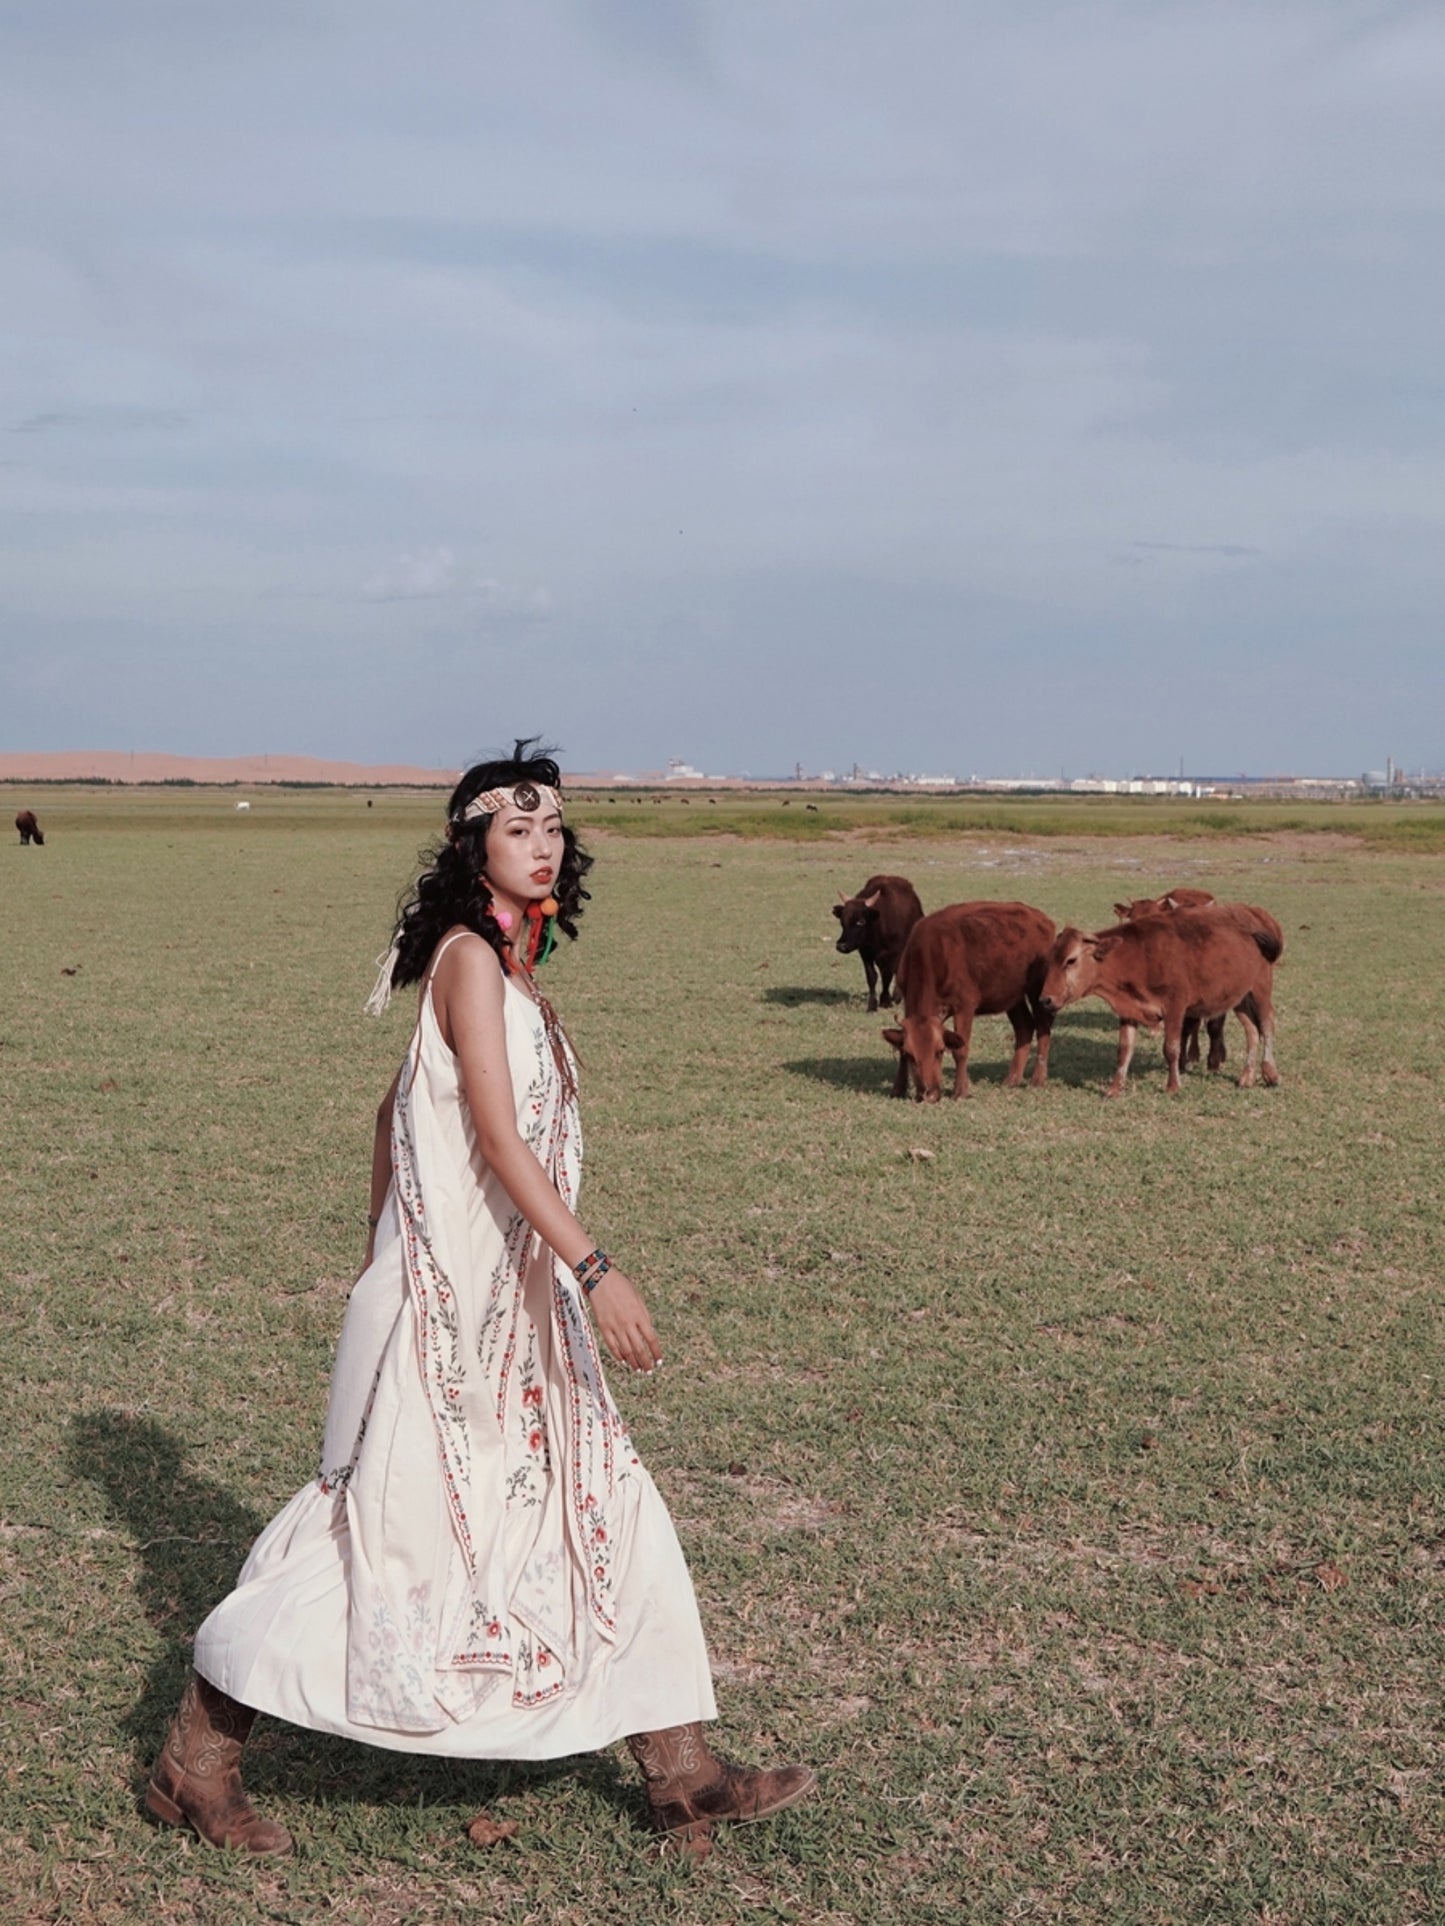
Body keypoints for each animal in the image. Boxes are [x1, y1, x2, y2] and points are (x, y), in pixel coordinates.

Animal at [836, 878, 928, 1016]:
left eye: (861, 921)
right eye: (842, 921)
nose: (841, 945)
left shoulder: (892, 954)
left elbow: (887, 975)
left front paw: (885, 1001)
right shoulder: (866, 954)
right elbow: (872, 977)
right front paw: (872, 1005)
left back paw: (896, 996)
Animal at [878, 897, 1055, 1101]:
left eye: (940, 1051)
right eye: (910, 1055)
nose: (930, 1094)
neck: (933, 953)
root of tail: (1042, 919)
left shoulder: (964, 1007)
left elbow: (961, 1050)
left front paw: (960, 1091)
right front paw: (897, 1089)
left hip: (1037, 991)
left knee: (1043, 1028)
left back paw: (1038, 1079)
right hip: (1012, 997)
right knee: (1024, 1027)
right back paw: (1012, 1079)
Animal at [1032, 905, 1287, 1101]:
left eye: (1071, 960)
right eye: (1049, 959)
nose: (1046, 999)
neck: (1137, 955)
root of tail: (1256, 914)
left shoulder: (1175, 1008)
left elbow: (1171, 1048)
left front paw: (1173, 1086)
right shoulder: (1129, 1011)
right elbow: (1124, 1050)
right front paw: (1115, 1089)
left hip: (1260, 989)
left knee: (1267, 1025)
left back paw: (1270, 1073)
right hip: (1240, 998)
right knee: (1251, 1031)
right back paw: (1247, 1077)